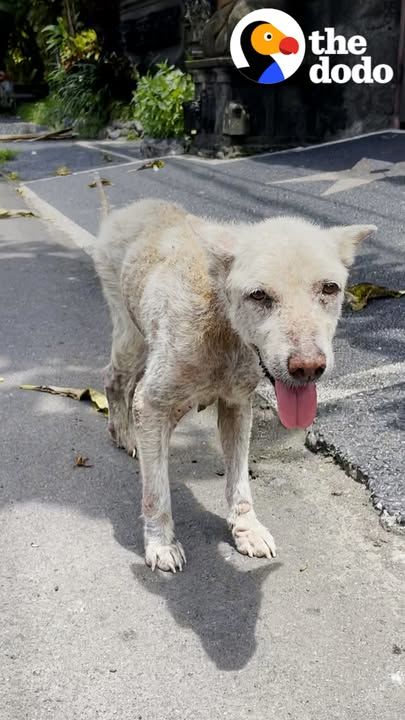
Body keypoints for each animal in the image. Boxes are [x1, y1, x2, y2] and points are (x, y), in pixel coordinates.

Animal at [93, 200, 374, 572]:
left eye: (330, 288)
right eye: (258, 295)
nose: (308, 368)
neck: (224, 325)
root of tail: (131, 207)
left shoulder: (238, 405)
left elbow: (239, 482)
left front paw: (246, 529)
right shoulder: (151, 406)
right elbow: (156, 492)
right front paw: (160, 543)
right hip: (131, 339)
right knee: (114, 379)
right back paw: (123, 433)